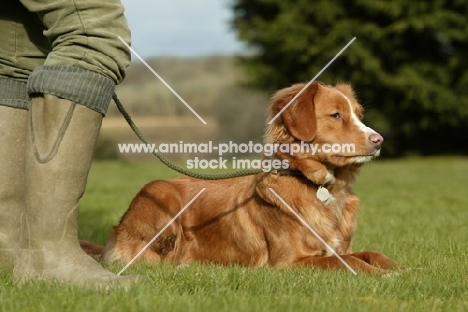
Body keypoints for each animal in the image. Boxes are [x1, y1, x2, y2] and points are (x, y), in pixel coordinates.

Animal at [80, 81, 398, 274]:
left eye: (358, 115)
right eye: (336, 115)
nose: (379, 140)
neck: (320, 185)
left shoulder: (339, 246)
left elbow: (367, 253)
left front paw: (396, 268)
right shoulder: (289, 262)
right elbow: (344, 261)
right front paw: (380, 275)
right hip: (159, 192)